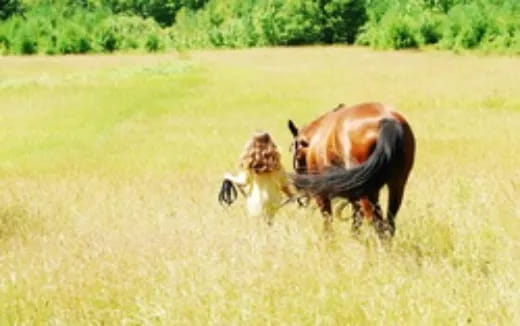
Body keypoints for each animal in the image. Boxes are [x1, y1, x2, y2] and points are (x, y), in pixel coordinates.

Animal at [288, 102, 414, 237]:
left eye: (295, 153)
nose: (299, 196)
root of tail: (387, 121)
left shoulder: (321, 194)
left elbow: (328, 220)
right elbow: (356, 221)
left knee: (377, 224)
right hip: (397, 186)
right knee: (389, 223)